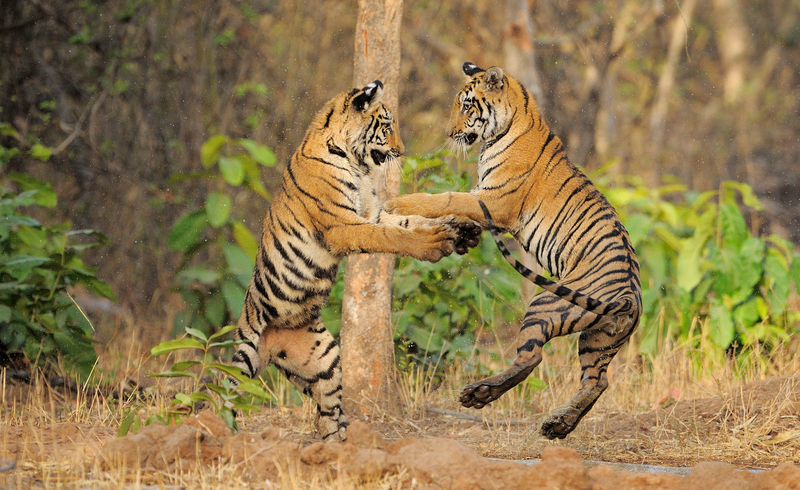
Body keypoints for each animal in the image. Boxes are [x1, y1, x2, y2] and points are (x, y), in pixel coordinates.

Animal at [231, 81, 482, 444]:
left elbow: (409, 221)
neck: (354, 162)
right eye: (387, 127)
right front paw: (434, 243)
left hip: (326, 361)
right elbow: (393, 236)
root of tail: (272, 348)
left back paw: (338, 448)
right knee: (219, 396)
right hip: (242, 357)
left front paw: (461, 229)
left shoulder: (371, 212)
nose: (402, 151)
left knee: (327, 416)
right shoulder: (344, 225)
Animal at [382, 62, 644, 440]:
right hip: (599, 339)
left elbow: (446, 198)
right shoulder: (485, 198)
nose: (449, 133)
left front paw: (397, 203)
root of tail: (629, 297)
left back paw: (478, 394)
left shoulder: (494, 200)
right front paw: (454, 234)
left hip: (547, 303)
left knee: (531, 358)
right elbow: (454, 212)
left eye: (466, 106)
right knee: (597, 381)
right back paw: (559, 424)